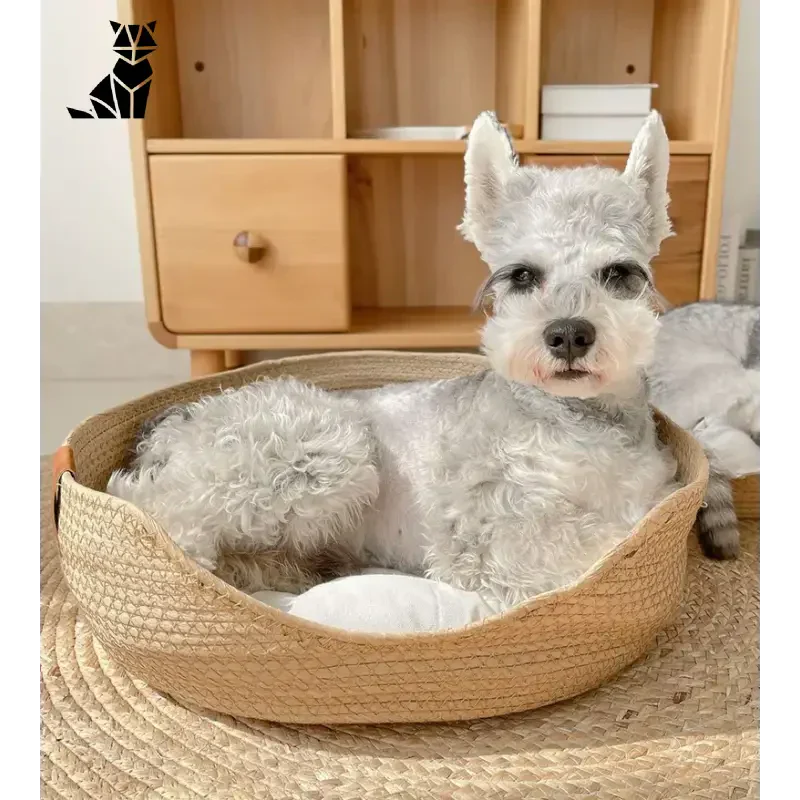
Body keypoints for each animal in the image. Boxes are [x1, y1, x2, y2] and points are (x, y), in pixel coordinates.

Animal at [108, 108, 680, 608]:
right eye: (522, 275)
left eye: (618, 272)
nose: (568, 334)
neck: (577, 419)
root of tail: (172, 423)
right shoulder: (490, 537)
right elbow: (591, 546)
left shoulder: (651, 492)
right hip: (320, 448)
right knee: (161, 513)